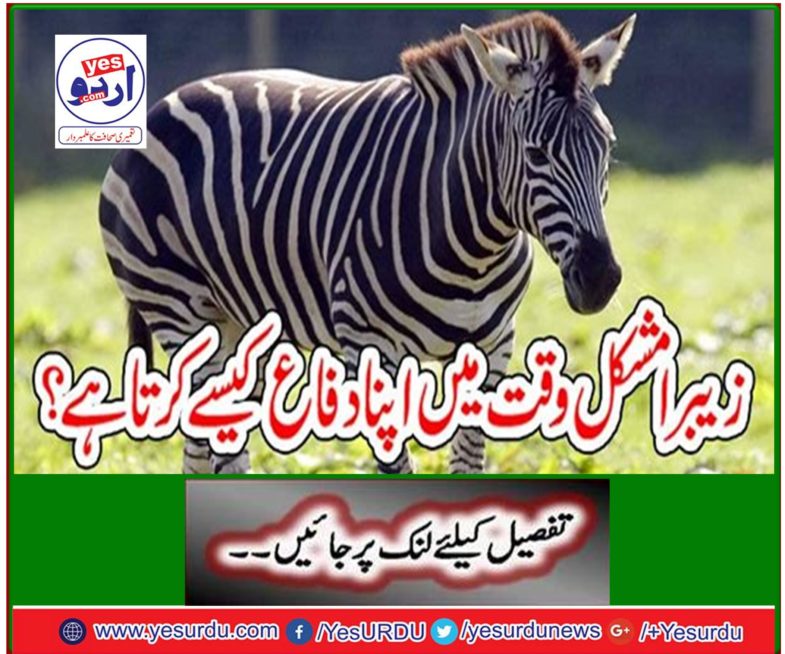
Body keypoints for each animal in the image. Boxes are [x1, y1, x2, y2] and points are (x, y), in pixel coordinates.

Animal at [99, 11, 635, 474]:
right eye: (536, 154)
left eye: (607, 147)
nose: (600, 279)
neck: (472, 247)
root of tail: (169, 99)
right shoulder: (368, 345)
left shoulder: (493, 345)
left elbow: (468, 460)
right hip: (175, 308)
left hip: (238, 324)